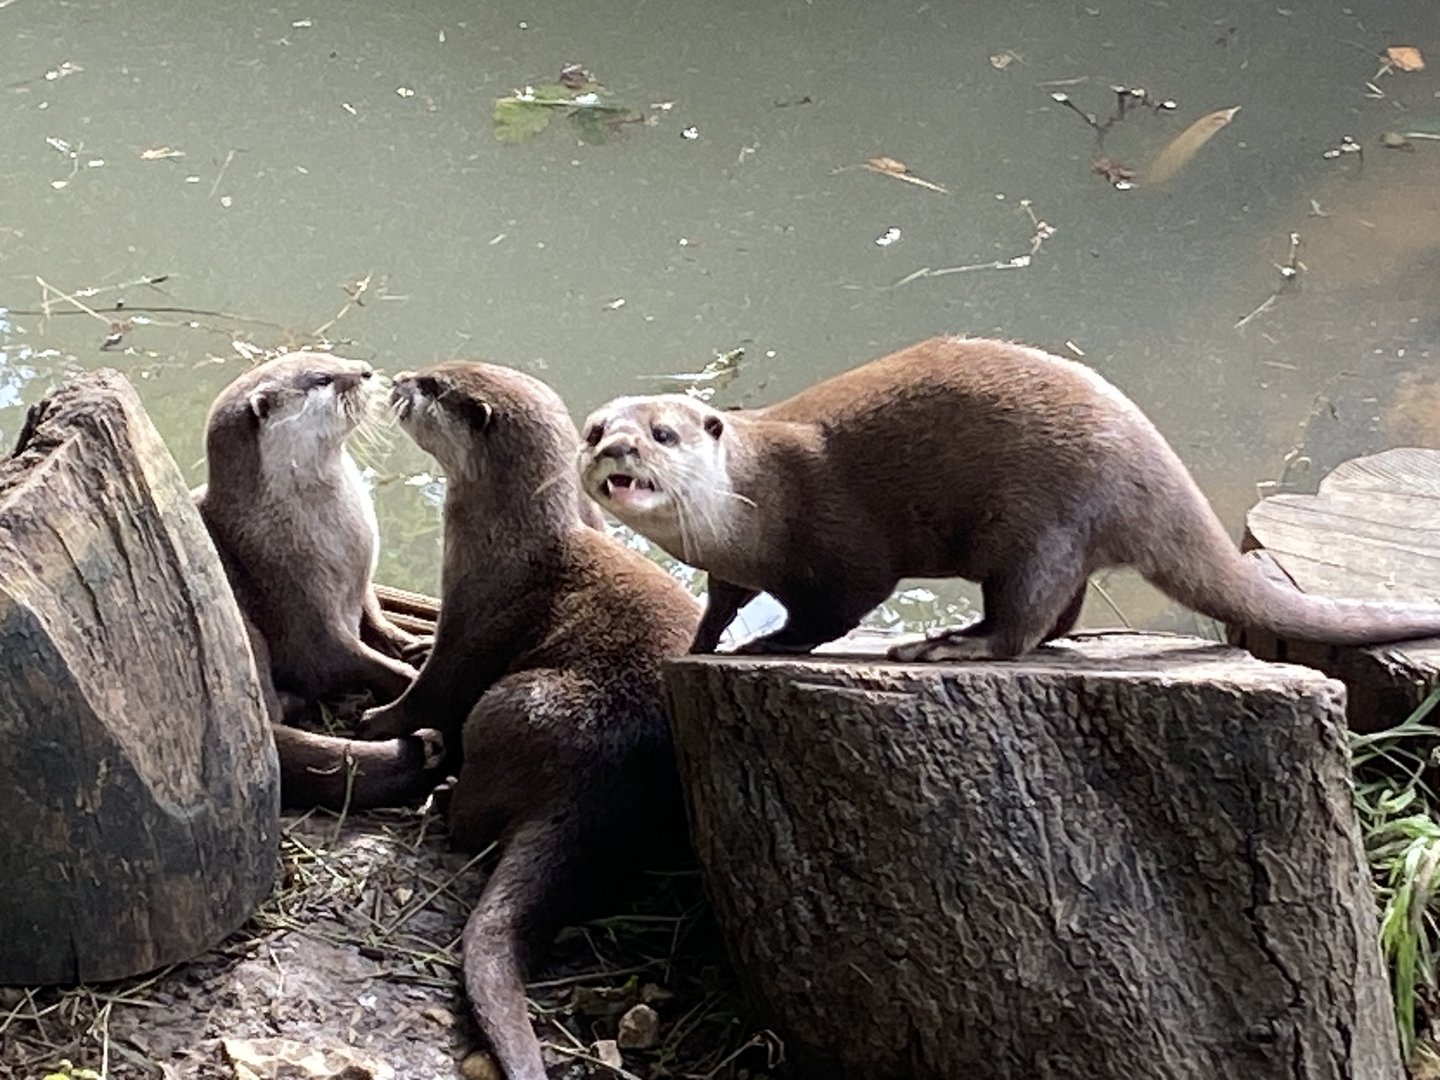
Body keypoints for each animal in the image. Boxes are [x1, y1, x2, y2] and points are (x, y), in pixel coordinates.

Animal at [196, 351, 440, 809]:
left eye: (328, 356)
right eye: (323, 379)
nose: (365, 370)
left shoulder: (361, 586)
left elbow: (378, 621)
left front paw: (417, 645)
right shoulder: (303, 611)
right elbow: (348, 659)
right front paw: (410, 677)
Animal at [357, 361, 698, 1080]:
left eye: (433, 385)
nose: (399, 377)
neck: (511, 538)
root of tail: (597, 791)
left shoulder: (473, 614)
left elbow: (432, 690)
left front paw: (374, 718)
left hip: (507, 704)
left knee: (470, 820)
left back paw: (444, 796)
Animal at [576, 335, 1440, 662]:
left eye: (663, 434)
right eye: (593, 429)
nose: (615, 450)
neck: (754, 505)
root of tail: (1158, 465)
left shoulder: (841, 540)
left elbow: (838, 608)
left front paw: (771, 644)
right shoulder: (730, 565)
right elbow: (722, 601)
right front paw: (699, 644)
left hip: (1043, 523)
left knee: (1024, 625)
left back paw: (950, 645)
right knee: (1058, 617)